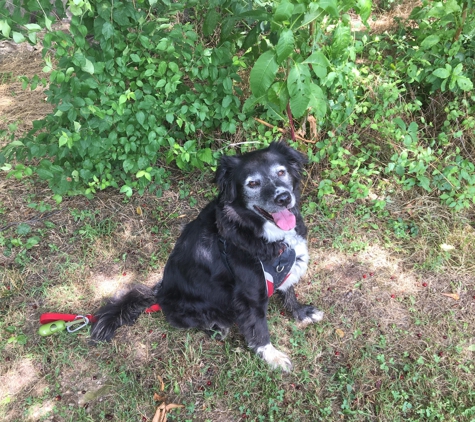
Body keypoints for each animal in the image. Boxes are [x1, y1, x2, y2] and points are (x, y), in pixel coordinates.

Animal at [91, 141, 324, 370]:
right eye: (252, 184)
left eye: (281, 172)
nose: (284, 198)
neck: (256, 231)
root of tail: (160, 292)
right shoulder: (250, 294)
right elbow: (259, 329)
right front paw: (272, 356)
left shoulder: (285, 266)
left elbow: (289, 292)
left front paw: (301, 313)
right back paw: (216, 327)